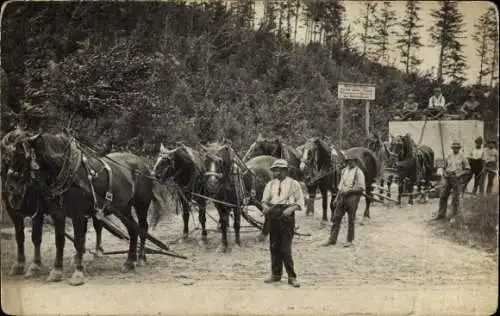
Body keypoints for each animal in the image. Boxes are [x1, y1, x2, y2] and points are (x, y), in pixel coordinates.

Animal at [2, 130, 174, 286]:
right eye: (6, 158)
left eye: (22, 156)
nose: (10, 188)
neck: (66, 171)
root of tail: (143, 165)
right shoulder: (57, 214)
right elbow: (59, 241)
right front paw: (56, 271)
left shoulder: (76, 214)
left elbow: (78, 241)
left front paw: (78, 273)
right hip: (123, 207)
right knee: (132, 230)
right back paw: (129, 262)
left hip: (141, 205)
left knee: (142, 227)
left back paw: (141, 257)